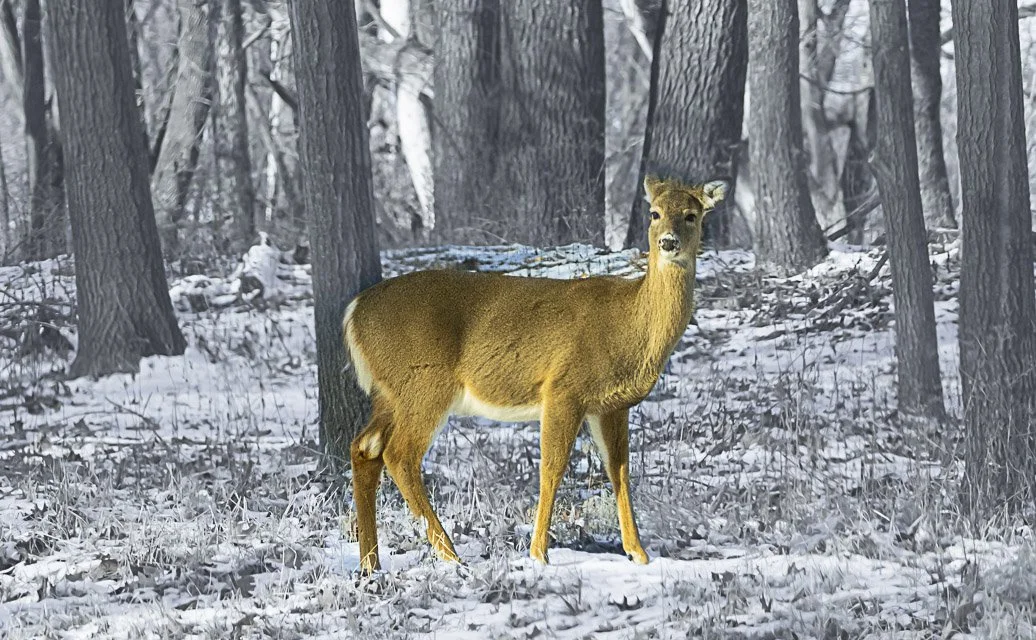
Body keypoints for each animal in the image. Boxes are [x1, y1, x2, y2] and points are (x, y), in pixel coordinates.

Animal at [344, 176, 727, 572]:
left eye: (692, 215)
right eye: (654, 213)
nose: (668, 242)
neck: (631, 324)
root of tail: (354, 310)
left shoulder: (612, 405)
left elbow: (619, 470)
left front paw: (638, 552)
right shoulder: (563, 388)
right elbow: (552, 468)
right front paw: (538, 552)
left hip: (390, 392)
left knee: (364, 448)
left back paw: (370, 564)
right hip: (424, 383)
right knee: (399, 455)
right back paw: (449, 553)